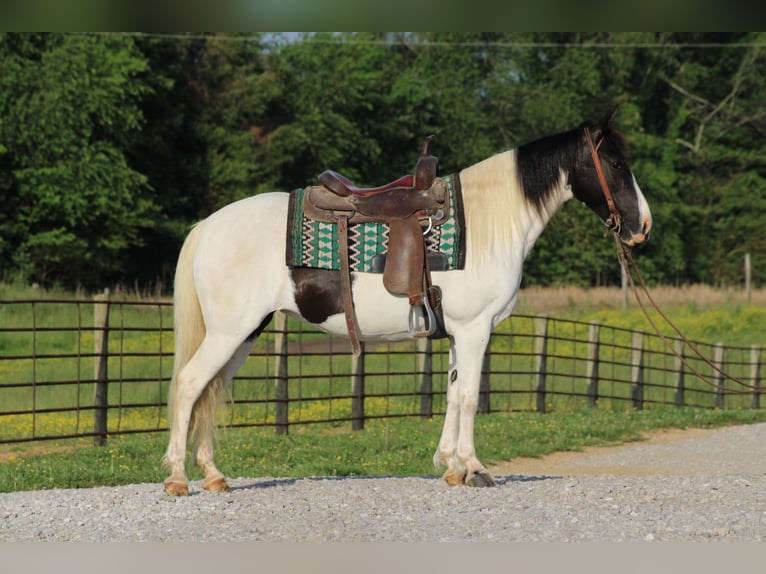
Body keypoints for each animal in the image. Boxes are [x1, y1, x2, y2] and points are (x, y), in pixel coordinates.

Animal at [162, 105, 653, 496]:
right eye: (615, 161)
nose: (643, 226)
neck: (489, 222)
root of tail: (208, 226)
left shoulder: (459, 333)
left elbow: (453, 395)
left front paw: (452, 467)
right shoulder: (474, 330)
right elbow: (469, 396)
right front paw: (475, 468)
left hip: (244, 333)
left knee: (211, 391)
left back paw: (214, 475)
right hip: (229, 333)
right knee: (189, 385)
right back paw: (178, 480)